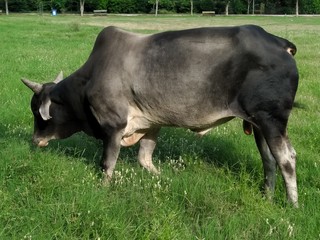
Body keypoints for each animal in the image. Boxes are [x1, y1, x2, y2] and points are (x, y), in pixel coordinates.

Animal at [22, 24, 300, 206]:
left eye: (38, 111)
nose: (35, 140)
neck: (87, 82)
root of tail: (280, 44)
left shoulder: (113, 126)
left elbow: (107, 164)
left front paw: (102, 189)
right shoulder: (150, 125)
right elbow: (145, 159)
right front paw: (166, 178)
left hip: (271, 119)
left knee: (286, 159)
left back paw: (291, 204)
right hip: (259, 124)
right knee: (269, 160)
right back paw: (267, 196)